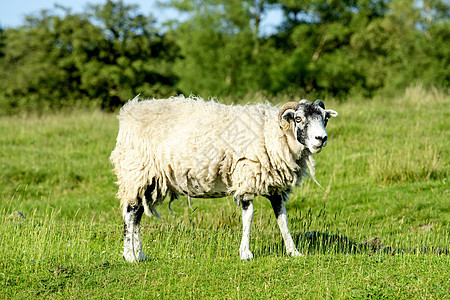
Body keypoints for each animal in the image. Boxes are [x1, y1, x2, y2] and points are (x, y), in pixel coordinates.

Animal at [110, 95, 338, 262]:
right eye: (298, 119)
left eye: (324, 119)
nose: (321, 139)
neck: (272, 133)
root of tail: (128, 113)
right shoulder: (247, 177)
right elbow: (249, 216)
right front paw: (245, 253)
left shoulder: (275, 187)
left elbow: (282, 219)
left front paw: (293, 251)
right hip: (136, 171)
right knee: (129, 214)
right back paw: (129, 256)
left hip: (149, 180)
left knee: (137, 214)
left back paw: (140, 254)